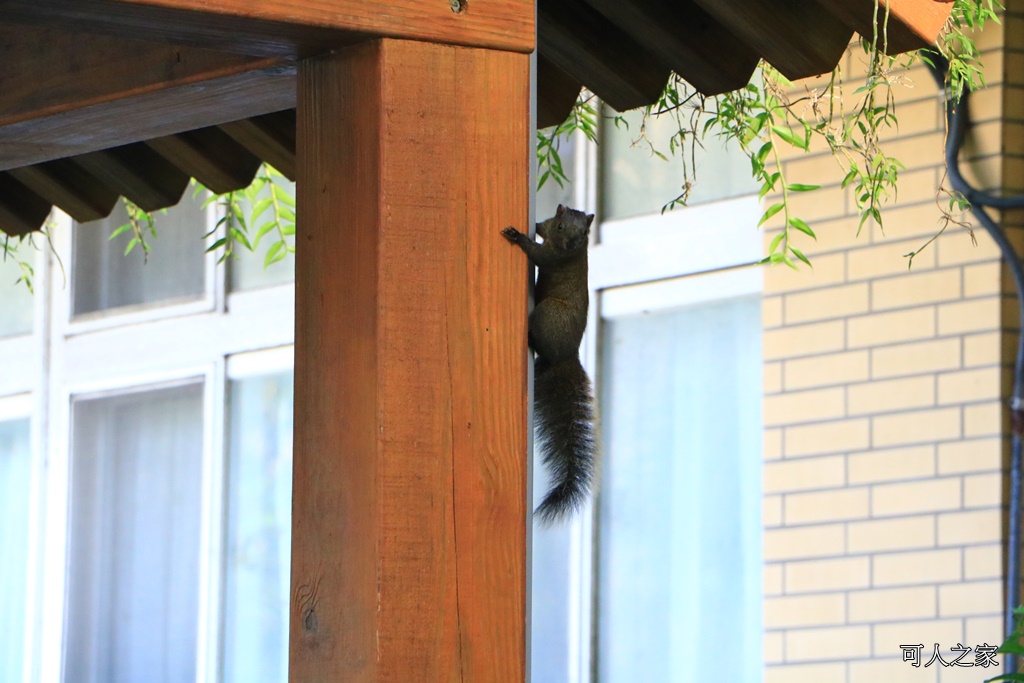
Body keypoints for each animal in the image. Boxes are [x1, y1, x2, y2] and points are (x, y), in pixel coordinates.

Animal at [499, 202, 598, 524]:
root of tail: (569, 355)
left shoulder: (553, 258)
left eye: (584, 233)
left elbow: (537, 253)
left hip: (548, 314)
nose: (569, 244)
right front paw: (532, 227)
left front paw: (517, 236)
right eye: (560, 225)